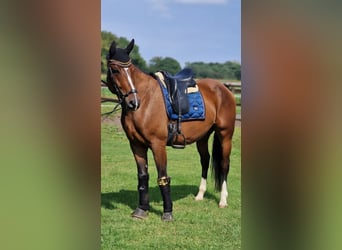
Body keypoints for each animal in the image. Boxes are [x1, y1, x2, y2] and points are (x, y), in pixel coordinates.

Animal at [105, 39, 236, 221]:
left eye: (130, 69)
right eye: (116, 70)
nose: (133, 102)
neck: (146, 100)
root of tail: (223, 88)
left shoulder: (157, 144)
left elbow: (163, 177)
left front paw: (167, 213)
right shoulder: (136, 145)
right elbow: (143, 177)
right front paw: (141, 210)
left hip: (225, 134)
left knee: (224, 164)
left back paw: (223, 200)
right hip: (203, 137)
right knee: (205, 160)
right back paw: (200, 195)